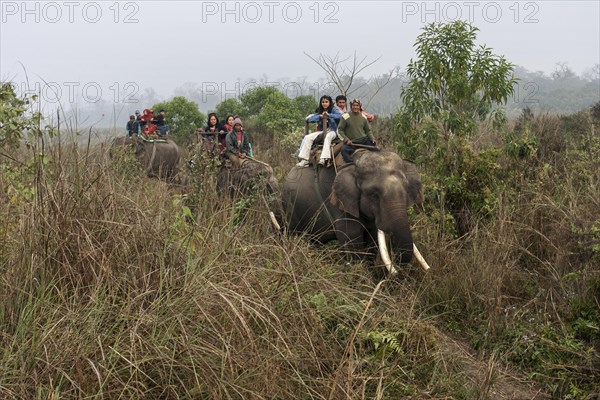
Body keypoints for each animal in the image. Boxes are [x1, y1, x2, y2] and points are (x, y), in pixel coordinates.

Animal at [282, 150, 426, 276]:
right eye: (374, 194)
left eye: (407, 191)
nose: (399, 272)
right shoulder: (338, 201)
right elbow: (352, 241)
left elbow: (372, 240)